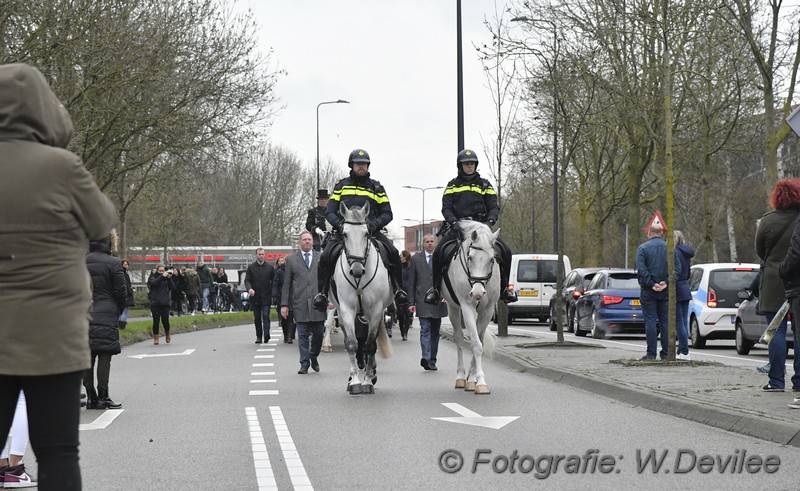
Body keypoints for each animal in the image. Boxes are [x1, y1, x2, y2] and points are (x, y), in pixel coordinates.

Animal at [332, 202, 394, 394]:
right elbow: (352, 343)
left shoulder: (376, 310)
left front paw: (367, 381)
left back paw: (372, 374)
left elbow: (370, 344)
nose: (357, 270)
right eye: (344, 233)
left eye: (366, 233)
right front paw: (354, 382)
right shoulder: (346, 309)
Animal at [440, 222, 496, 396]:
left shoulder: (488, 311)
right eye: (470, 257)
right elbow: (476, 344)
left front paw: (473, 380)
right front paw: (480, 382)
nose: (477, 293)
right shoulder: (467, 308)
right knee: (458, 338)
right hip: (452, 309)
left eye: (492, 259)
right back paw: (460, 377)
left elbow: (479, 343)